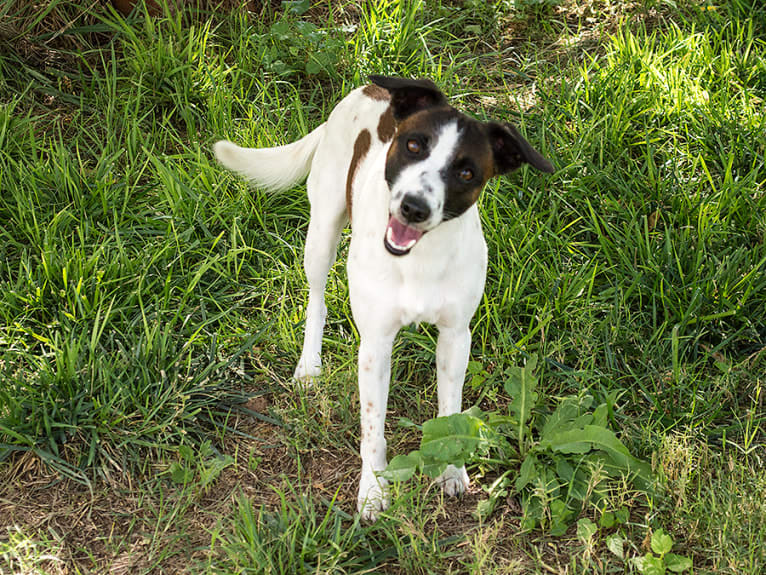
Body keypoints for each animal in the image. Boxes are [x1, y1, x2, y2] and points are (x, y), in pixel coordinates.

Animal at [213, 76, 556, 520]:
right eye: (414, 145)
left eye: (466, 172)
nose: (414, 207)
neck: (419, 258)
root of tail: (371, 89)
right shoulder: (375, 345)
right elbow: (372, 428)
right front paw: (373, 490)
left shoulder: (456, 338)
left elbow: (451, 412)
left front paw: (451, 470)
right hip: (321, 233)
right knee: (316, 299)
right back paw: (309, 365)